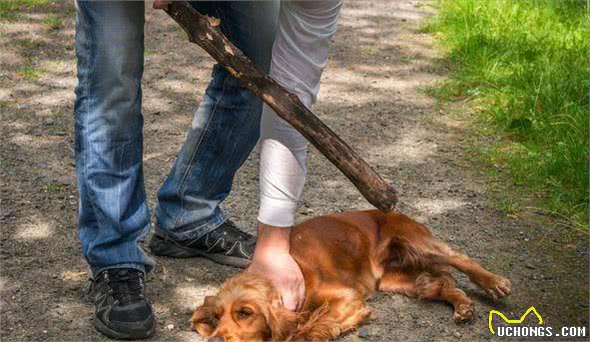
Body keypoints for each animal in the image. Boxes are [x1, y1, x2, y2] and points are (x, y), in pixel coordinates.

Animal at [191, 210, 512, 340]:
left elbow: (308, 329)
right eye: (216, 317)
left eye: (245, 313)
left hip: (416, 242)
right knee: (437, 284)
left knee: (460, 259)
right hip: (394, 279)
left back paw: (495, 283)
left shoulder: (348, 299)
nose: (215, 341)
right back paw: (463, 306)